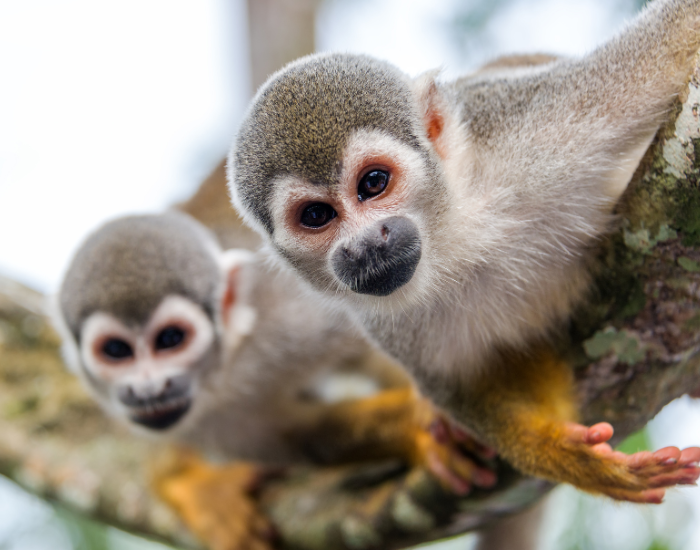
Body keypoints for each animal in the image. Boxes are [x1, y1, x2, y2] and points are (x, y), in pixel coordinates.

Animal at [228, 0, 700, 506]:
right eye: (316, 215)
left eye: (373, 183)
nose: (364, 245)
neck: (454, 239)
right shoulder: (386, 322)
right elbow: (463, 387)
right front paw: (562, 453)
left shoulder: (533, 125)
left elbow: (665, 48)